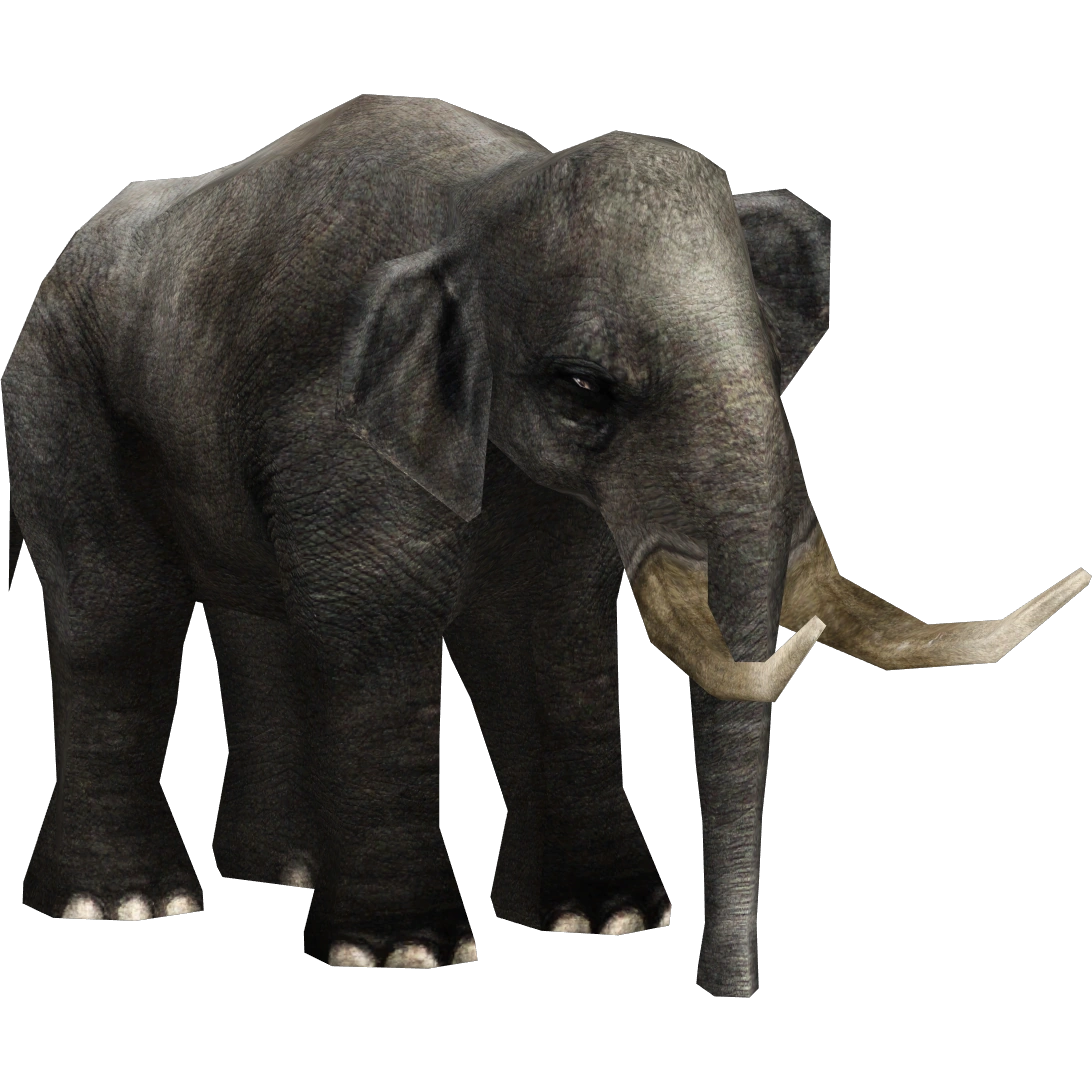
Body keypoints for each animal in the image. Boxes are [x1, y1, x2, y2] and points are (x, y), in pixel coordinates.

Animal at [3, 95, 1088, 996]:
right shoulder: (340, 427)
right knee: (118, 608)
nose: (730, 993)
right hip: (56, 386)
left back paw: (282, 872)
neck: (492, 195)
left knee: (253, 622)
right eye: (582, 388)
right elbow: (377, 637)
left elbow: (553, 638)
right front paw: (403, 956)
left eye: (776, 366)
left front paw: (604, 924)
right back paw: (129, 906)